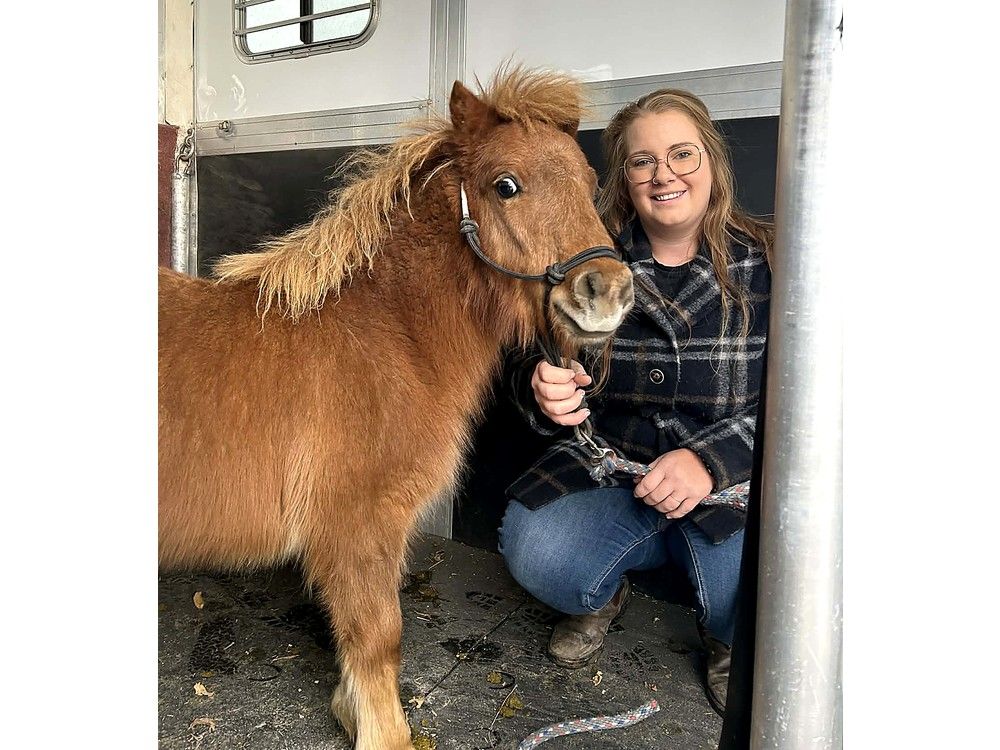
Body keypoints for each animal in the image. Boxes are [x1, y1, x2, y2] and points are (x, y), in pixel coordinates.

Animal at [158, 67, 635, 750]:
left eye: (591, 184)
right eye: (506, 185)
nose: (608, 294)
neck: (386, 333)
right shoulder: (360, 526)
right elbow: (379, 636)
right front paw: (384, 732)